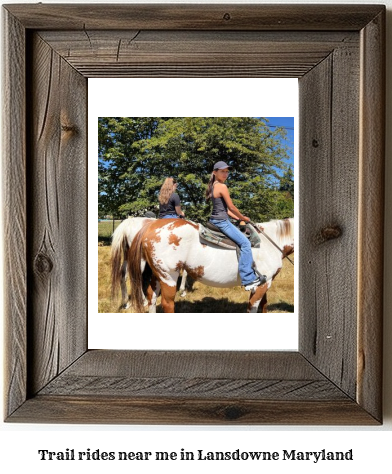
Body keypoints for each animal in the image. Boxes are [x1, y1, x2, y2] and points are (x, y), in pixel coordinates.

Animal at [127, 218, 292, 314]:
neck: (272, 242)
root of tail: (150, 226)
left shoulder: (266, 282)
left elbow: (264, 305)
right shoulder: (263, 284)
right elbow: (253, 307)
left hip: (158, 275)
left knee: (151, 296)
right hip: (169, 277)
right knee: (168, 304)